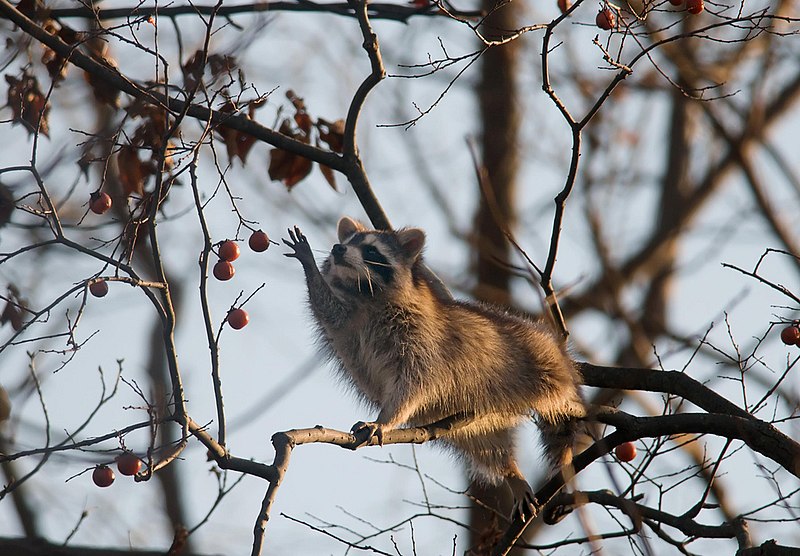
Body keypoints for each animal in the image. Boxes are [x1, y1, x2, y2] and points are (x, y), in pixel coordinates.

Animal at [283, 217, 584, 519]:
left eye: (370, 250)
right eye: (346, 242)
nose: (338, 249)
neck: (366, 294)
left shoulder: (420, 337)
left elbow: (413, 382)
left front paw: (386, 419)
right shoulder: (348, 324)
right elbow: (328, 310)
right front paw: (310, 267)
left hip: (535, 355)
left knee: (553, 394)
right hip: (474, 424)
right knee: (488, 447)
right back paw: (510, 471)